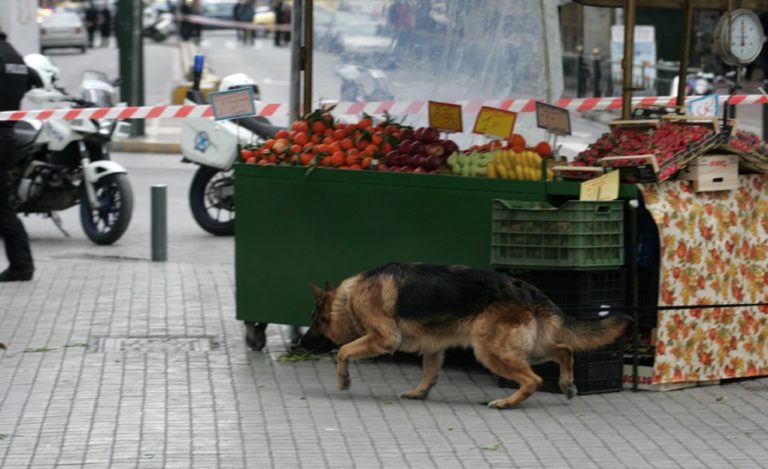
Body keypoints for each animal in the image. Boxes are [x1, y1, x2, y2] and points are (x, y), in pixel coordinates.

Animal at [300, 262, 632, 408]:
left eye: (315, 322)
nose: (300, 344)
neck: (350, 297)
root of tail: (525, 287)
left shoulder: (383, 339)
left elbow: (344, 352)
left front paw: (343, 380)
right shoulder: (433, 348)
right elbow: (430, 372)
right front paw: (420, 392)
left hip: (490, 350)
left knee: (534, 379)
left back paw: (507, 402)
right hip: (529, 348)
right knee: (565, 350)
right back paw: (566, 385)